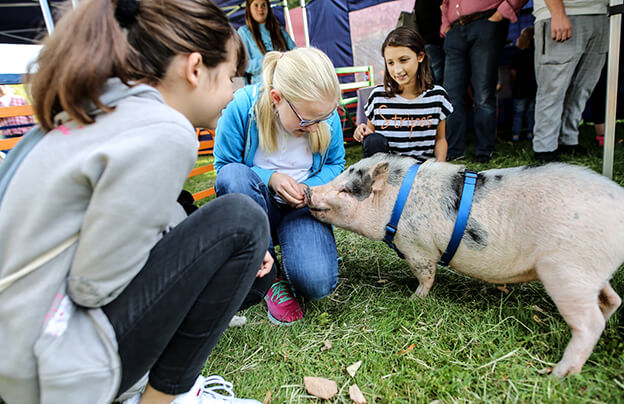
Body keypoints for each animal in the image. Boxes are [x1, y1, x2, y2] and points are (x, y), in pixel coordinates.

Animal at [306, 154, 624, 378]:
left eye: (345, 191)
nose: (308, 192)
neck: (393, 205)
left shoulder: (418, 248)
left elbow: (426, 276)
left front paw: (414, 299)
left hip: (567, 272)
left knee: (590, 322)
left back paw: (558, 374)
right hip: (590, 272)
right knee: (611, 300)